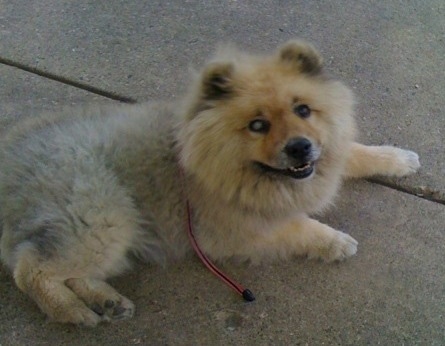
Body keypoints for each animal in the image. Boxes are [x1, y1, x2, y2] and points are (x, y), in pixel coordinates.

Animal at [0, 39, 420, 326]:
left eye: (303, 110)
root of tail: (14, 158)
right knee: (30, 269)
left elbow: (354, 152)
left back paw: (107, 302)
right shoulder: (238, 230)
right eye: (258, 125)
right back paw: (74, 311)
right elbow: (300, 226)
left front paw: (398, 159)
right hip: (106, 220)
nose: (300, 147)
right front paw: (334, 241)